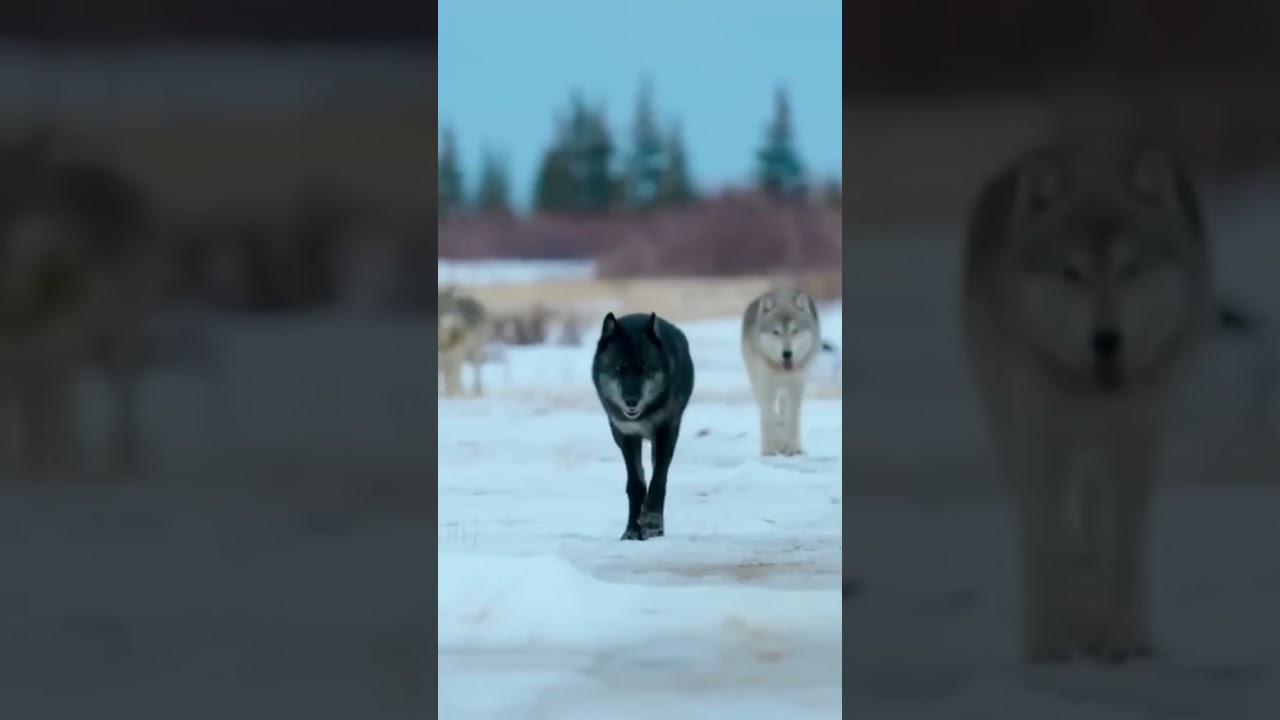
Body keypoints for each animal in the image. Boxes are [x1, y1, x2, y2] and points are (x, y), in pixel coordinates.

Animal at [0, 133, 156, 479]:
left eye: (30, 202)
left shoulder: (56, 343)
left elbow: (49, 405)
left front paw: (46, 465)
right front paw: (21, 467)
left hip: (117, 330)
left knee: (123, 386)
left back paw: (121, 455)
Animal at [592, 312, 695, 541]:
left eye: (644, 368)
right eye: (619, 368)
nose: (631, 401)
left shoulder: (666, 431)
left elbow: (659, 479)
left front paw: (652, 522)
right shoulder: (626, 436)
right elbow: (636, 484)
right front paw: (632, 529)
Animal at [741, 289, 822, 456]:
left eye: (795, 331)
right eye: (776, 332)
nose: (787, 353)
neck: (781, 370)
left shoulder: (797, 385)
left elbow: (792, 418)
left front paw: (793, 448)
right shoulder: (766, 385)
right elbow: (768, 416)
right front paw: (769, 449)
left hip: (786, 389)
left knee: (783, 410)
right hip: (755, 381)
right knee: (767, 411)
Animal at [962, 134, 1213, 664]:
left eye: (1130, 268)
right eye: (1071, 272)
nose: (1107, 340)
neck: (1090, 393)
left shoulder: (1136, 443)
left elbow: (1122, 546)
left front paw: (1124, 639)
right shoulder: (1041, 443)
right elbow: (1046, 541)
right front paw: (1048, 644)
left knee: (1095, 523)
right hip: (1008, 430)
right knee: (1046, 523)